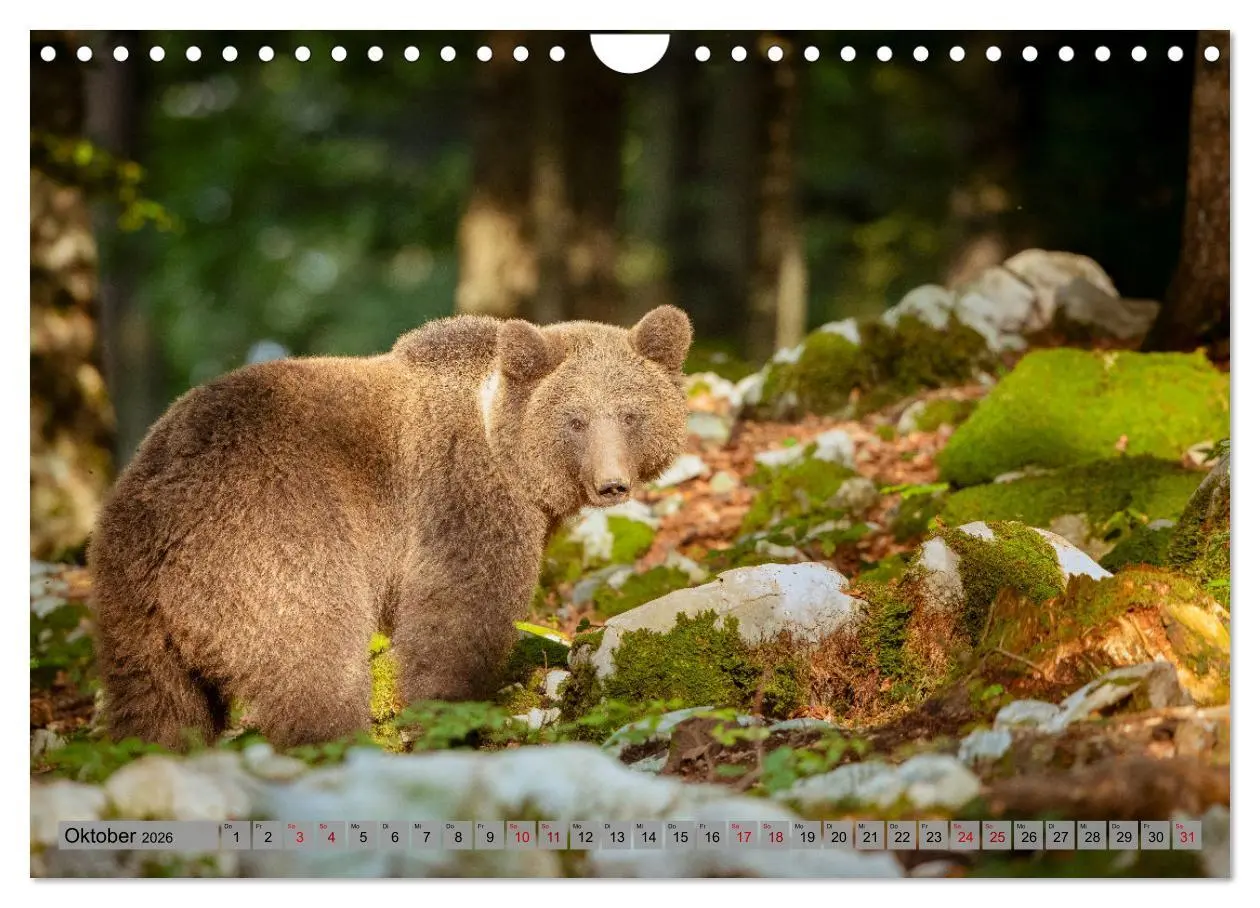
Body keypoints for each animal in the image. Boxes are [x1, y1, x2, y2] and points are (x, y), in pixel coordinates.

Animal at [89, 305, 692, 749]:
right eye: (576, 419)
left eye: (632, 413)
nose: (612, 484)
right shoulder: (460, 498)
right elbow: (457, 617)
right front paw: (448, 719)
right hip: (271, 547)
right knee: (315, 664)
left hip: (129, 610)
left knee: (158, 708)